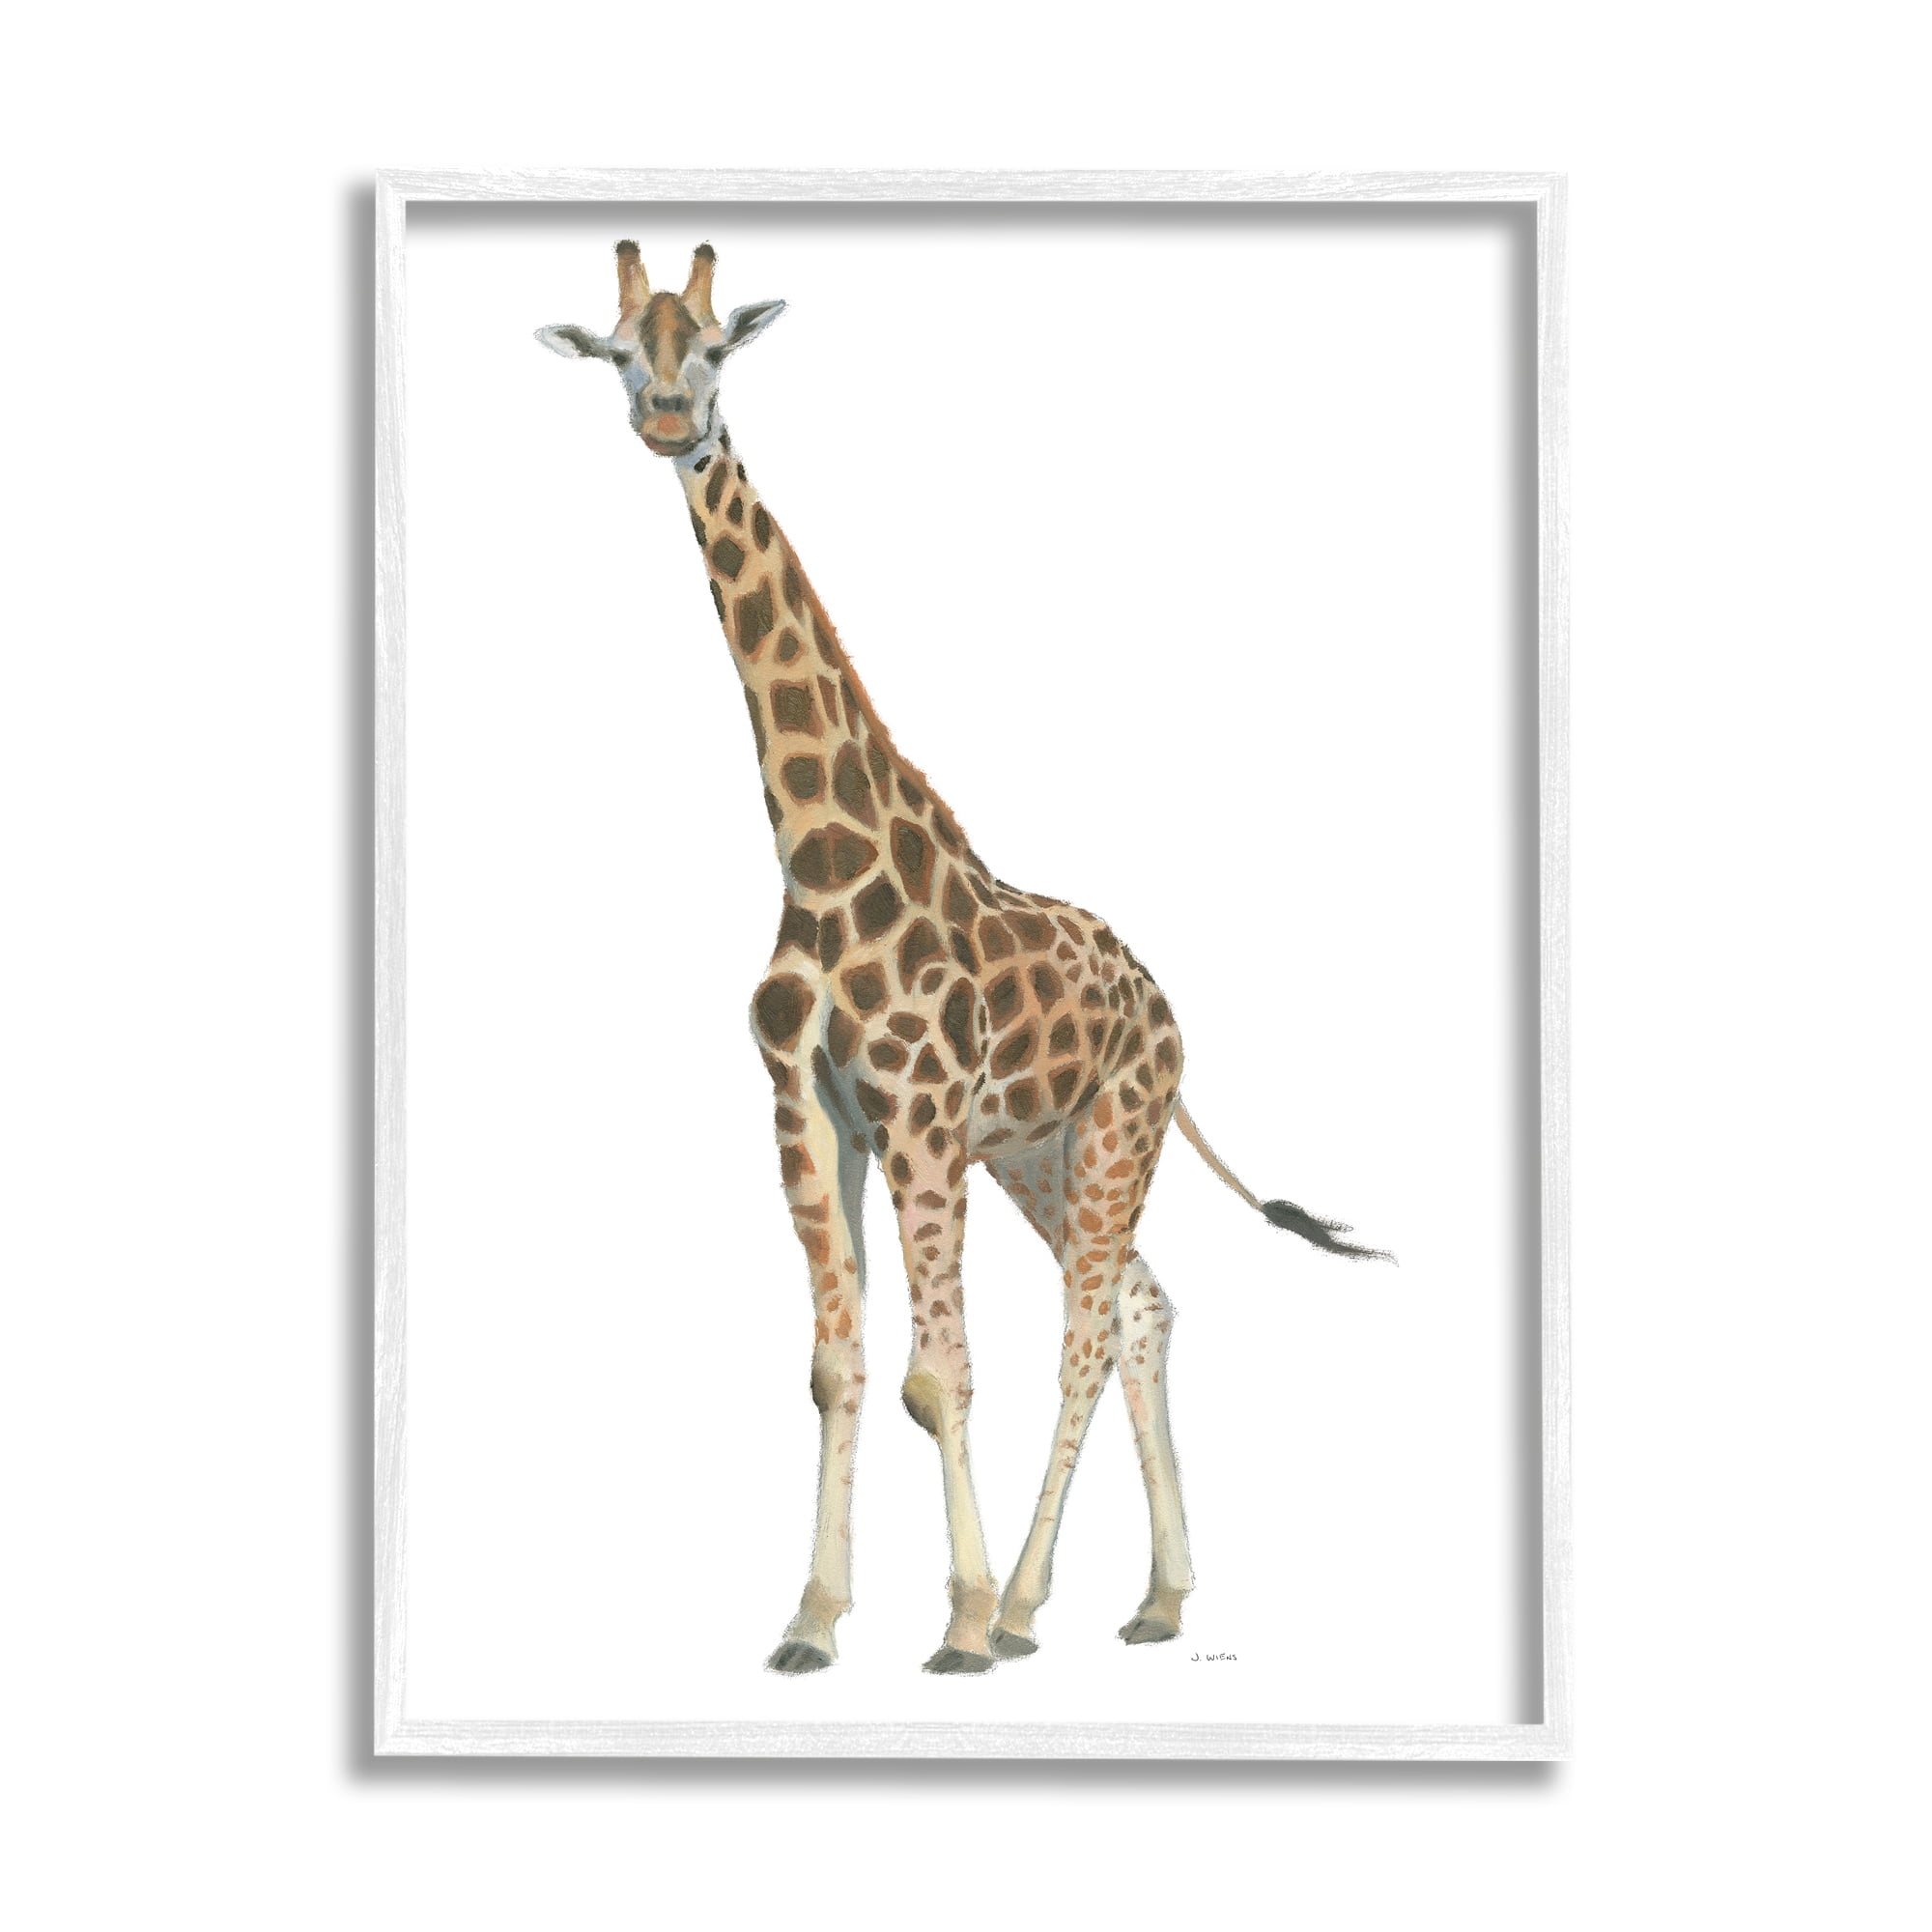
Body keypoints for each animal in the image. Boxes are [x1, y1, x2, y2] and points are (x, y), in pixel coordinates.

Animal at [537, 241, 1390, 1676]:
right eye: (613, 351)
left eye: (711, 348)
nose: (665, 421)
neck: (817, 858)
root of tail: (1165, 1005)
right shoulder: (815, 1110)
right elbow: (835, 1366)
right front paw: (812, 1619)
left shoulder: (921, 1114)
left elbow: (940, 1372)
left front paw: (963, 1617)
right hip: (1040, 1153)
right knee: (1143, 1305)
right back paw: (1147, 1600)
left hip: (1109, 1134)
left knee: (1090, 1326)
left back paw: (1034, 1605)